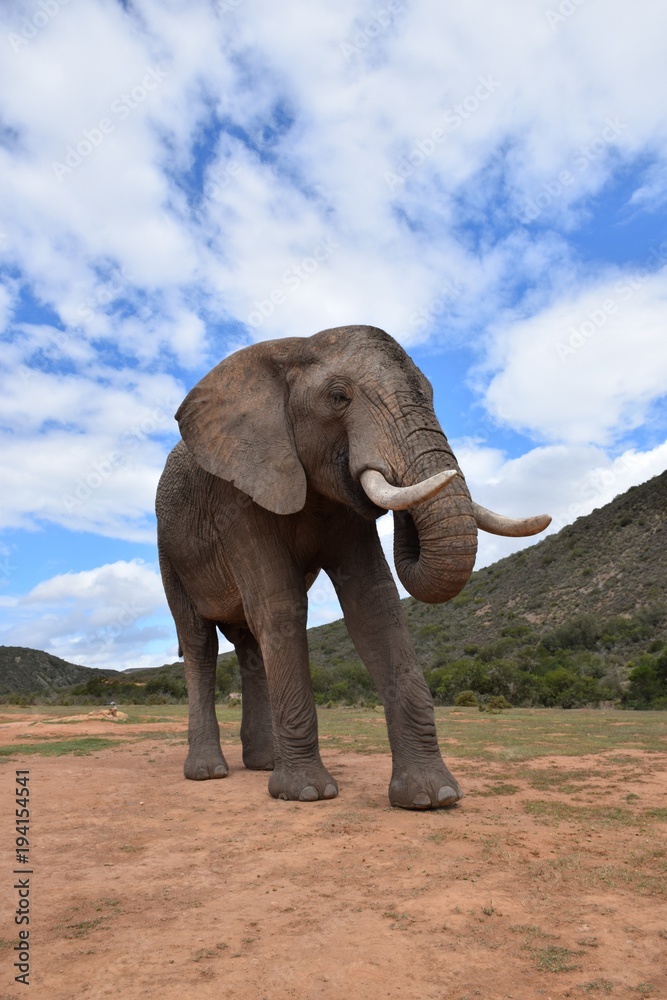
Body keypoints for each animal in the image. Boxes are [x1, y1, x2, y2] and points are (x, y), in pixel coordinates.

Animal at [156, 325, 550, 809]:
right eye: (339, 397)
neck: (292, 349)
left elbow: (375, 605)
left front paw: (432, 796)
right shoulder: (237, 498)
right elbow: (282, 607)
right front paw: (307, 793)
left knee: (249, 644)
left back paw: (263, 764)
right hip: (169, 551)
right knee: (200, 642)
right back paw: (208, 772)